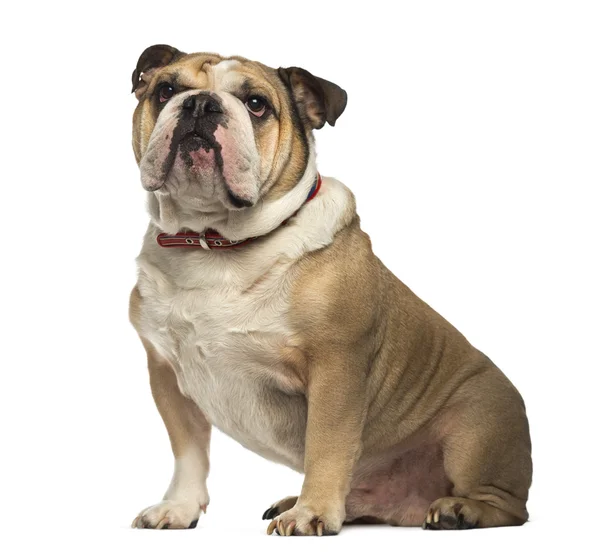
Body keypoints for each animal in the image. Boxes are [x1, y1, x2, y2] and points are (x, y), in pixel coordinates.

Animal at [129, 45, 532, 532]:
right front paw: (179, 507)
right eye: (165, 89)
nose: (201, 104)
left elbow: (327, 445)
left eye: (256, 104)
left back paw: (461, 510)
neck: (215, 243)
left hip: (473, 432)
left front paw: (312, 513)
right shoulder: (167, 376)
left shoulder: (334, 370)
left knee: (509, 506)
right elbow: (189, 452)